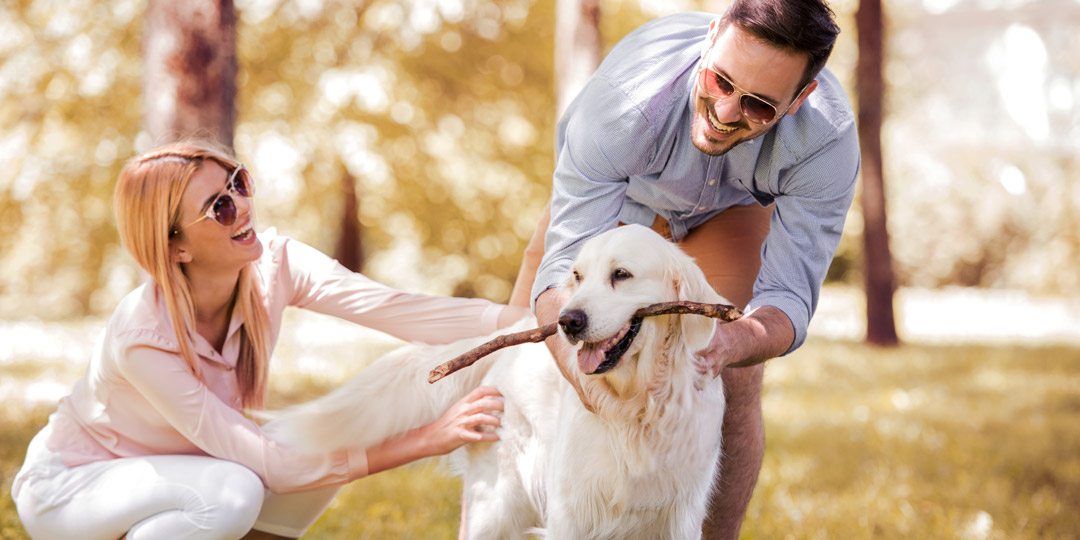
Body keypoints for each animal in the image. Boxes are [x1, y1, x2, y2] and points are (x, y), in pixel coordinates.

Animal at [265, 223, 730, 535]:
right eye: (577, 277)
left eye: (622, 275)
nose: (567, 321)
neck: (635, 407)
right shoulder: (573, 513)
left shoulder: (679, 517)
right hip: (497, 504)